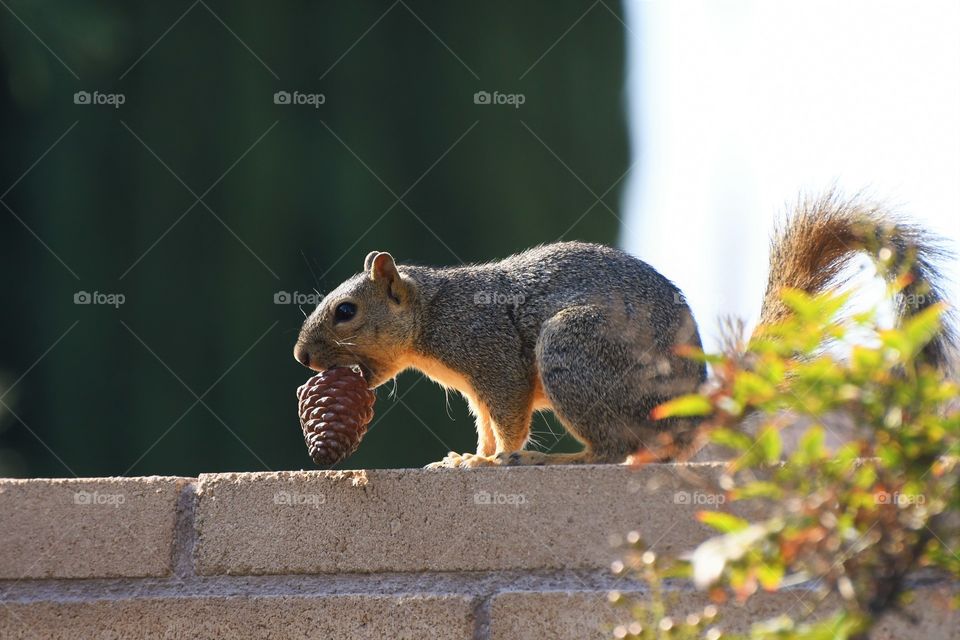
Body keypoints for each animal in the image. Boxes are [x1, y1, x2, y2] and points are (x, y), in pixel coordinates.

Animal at [292, 192, 952, 468]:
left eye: (346, 311)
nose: (302, 357)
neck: (433, 312)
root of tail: (694, 412)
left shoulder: (493, 357)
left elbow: (507, 419)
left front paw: (494, 462)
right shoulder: (477, 386)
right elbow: (484, 423)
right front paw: (465, 457)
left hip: (574, 351)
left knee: (612, 449)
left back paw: (555, 461)